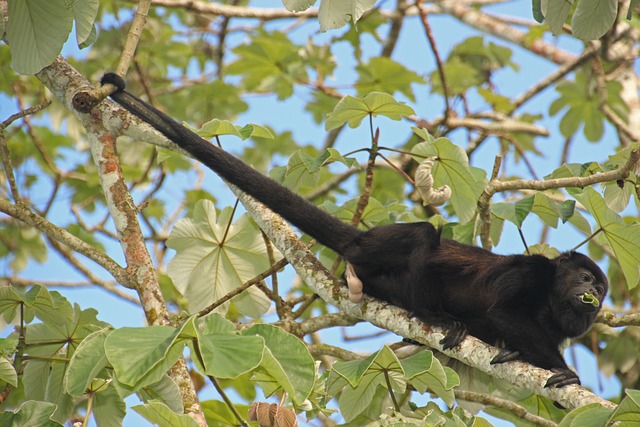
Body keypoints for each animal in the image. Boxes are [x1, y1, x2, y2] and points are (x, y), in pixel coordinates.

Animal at [99, 73, 608, 388]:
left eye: (601, 289)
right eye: (586, 278)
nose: (595, 297)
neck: (552, 296)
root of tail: (359, 239)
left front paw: (519, 354)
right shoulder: (532, 272)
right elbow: (504, 310)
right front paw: (565, 372)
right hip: (376, 247)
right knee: (424, 235)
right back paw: (436, 316)